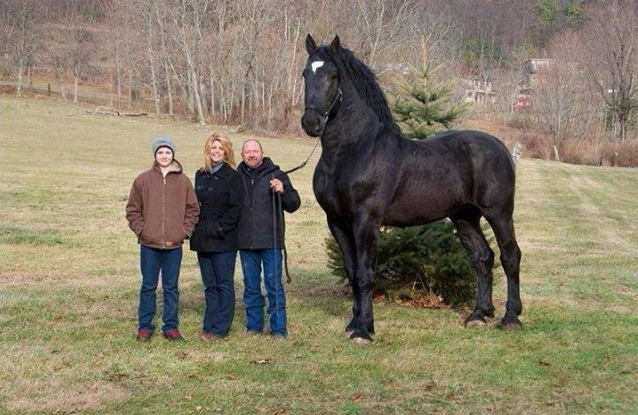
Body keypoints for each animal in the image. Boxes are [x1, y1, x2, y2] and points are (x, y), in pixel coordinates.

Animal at [302, 35, 524, 342]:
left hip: (499, 213)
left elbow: (366, 273)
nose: (311, 123)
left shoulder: (366, 221)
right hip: (465, 216)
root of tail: (499, 145)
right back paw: (479, 315)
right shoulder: (336, 222)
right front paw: (354, 322)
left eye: (333, 76)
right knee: (483, 257)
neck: (353, 151)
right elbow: (351, 272)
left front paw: (364, 330)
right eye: (305, 74)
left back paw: (511, 317)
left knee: (510, 255)